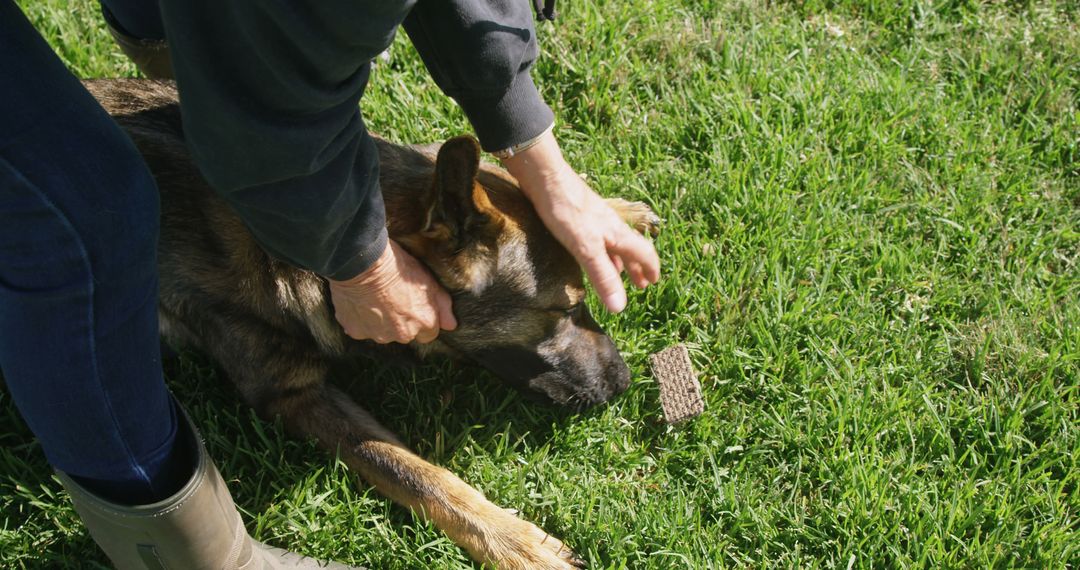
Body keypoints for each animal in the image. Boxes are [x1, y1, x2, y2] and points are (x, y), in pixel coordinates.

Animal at [84, 79, 656, 570]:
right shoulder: (294, 395)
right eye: (563, 311)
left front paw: (608, 211)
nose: (624, 381)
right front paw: (513, 541)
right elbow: (417, 472)